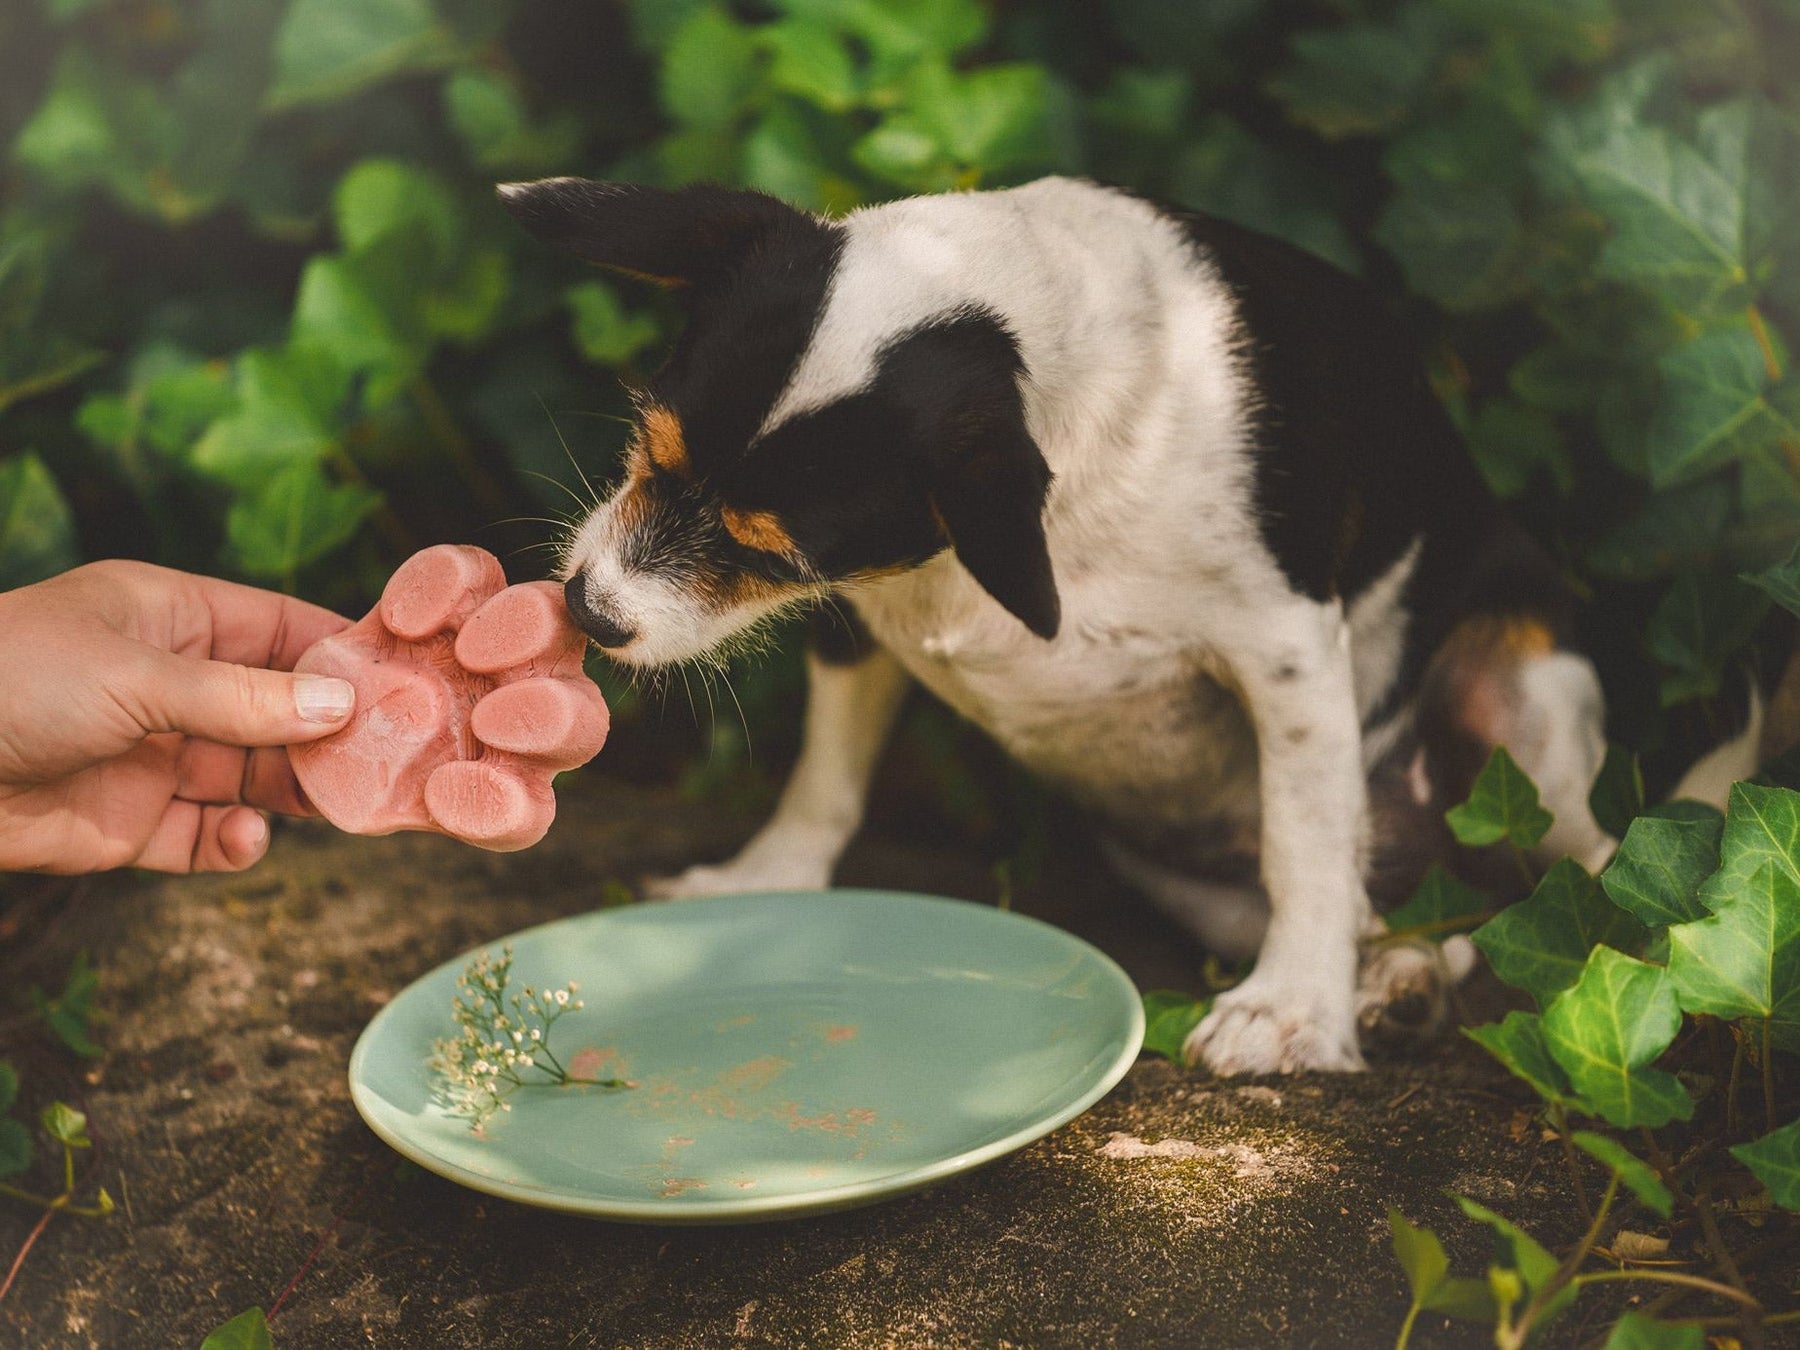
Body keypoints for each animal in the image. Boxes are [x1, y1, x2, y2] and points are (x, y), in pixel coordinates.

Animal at [500, 177, 1663, 1080]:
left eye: (772, 552)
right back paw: (1402, 977)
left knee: (1574, 877)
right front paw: (764, 881)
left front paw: (1290, 1010)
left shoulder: (1286, 648)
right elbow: (825, 776)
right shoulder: (861, 626)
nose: (588, 610)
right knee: (1419, 920)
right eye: (648, 443)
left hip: (1518, 699)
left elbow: (1306, 840)